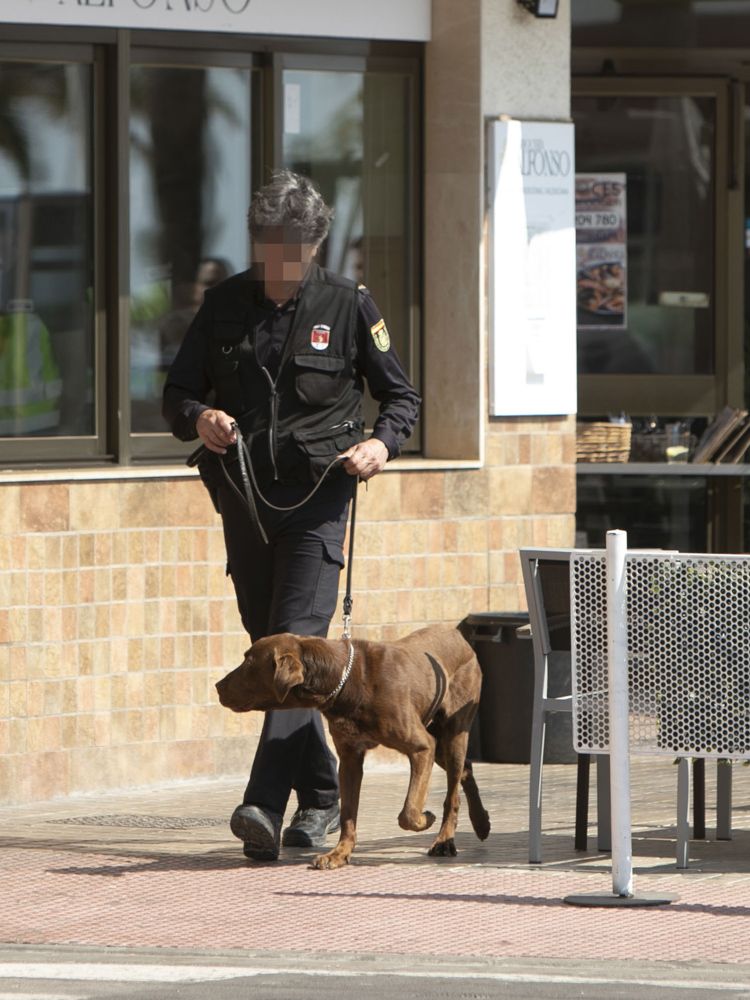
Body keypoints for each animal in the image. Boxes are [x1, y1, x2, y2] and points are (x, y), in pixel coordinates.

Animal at [214, 624, 490, 868]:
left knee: (452, 794)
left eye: (249, 661)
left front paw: (425, 818)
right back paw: (482, 822)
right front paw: (339, 854)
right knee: (466, 769)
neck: (344, 681)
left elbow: (409, 812)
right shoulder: (350, 759)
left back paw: (445, 840)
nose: (217, 686)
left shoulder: (421, 747)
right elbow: (348, 813)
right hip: (439, 743)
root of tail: (457, 634)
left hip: (452, 733)